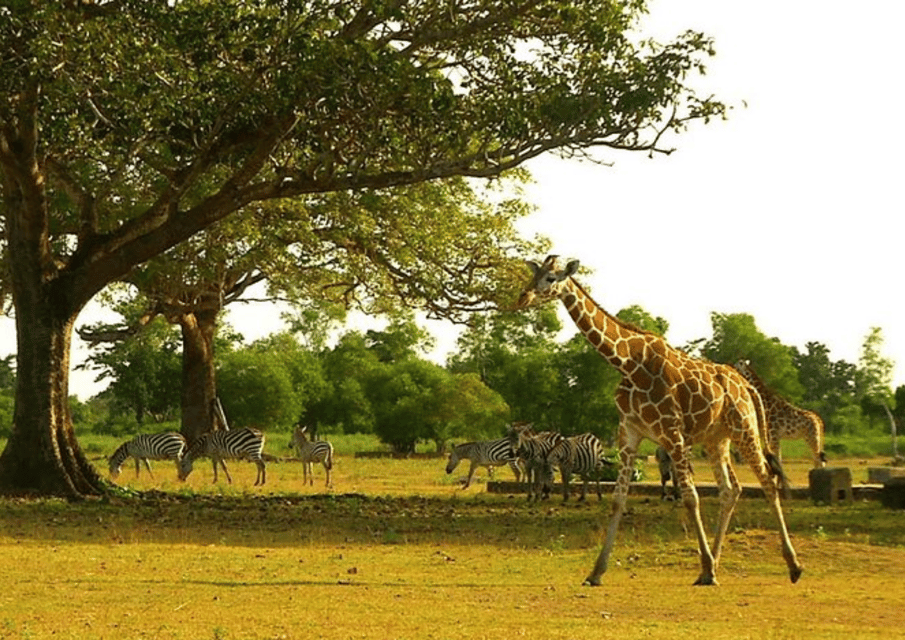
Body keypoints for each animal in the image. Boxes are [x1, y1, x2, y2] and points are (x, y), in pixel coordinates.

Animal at [516, 258, 800, 588]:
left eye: (551, 277)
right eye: (534, 274)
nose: (523, 297)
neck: (627, 363)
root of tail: (746, 385)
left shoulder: (673, 432)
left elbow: (690, 498)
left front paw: (706, 565)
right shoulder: (629, 433)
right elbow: (618, 499)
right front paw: (596, 572)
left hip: (746, 429)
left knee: (767, 481)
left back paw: (792, 566)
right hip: (717, 440)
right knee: (731, 490)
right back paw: (713, 566)